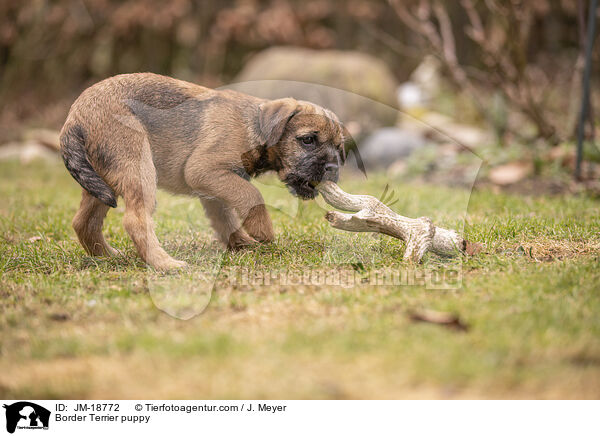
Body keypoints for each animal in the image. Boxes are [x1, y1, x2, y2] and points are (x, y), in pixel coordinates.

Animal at [60, 71, 344, 270]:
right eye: (308, 140)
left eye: (339, 147)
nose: (332, 167)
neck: (253, 125)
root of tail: (75, 115)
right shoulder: (205, 171)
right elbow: (251, 196)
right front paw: (262, 231)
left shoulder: (214, 186)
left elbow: (225, 219)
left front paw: (244, 244)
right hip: (137, 168)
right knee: (135, 220)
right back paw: (165, 264)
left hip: (103, 182)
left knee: (84, 222)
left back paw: (107, 257)